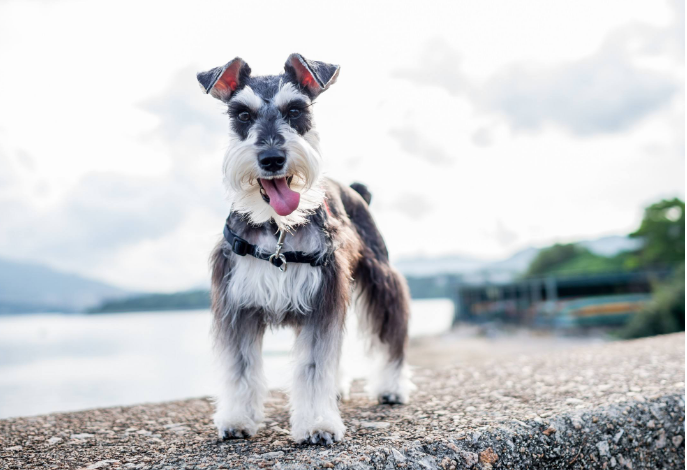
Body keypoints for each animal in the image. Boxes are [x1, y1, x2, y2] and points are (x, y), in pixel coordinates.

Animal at [196, 53, 414, 446]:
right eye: (242, 115)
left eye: (295, 110)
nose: (271, 158)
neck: (277, 227)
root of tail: (355, 189)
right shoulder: (238, 305)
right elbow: (240, 367)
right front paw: (237, 419)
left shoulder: (322, 299)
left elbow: (314, 366)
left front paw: (317, 424)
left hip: (381, 278)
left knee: (391, 336)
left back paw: (392, 387)